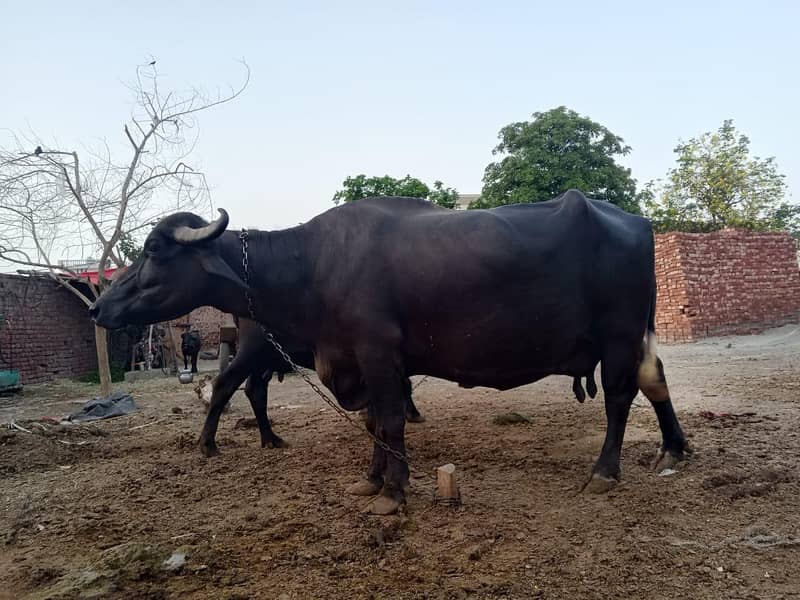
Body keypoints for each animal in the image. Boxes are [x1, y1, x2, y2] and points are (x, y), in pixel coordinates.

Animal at [90, 191, 688, 515]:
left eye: (154, 250)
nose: (99, 306)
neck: (311, 266)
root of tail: (636, 222)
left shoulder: (378, 356)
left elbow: (393, 421)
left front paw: (395, 492)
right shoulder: (358, 362)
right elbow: (376, 422)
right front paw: (372, 478)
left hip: (617, 339)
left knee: (620, 398)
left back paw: (606, 471)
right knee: (653, 382)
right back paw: (673, 449)